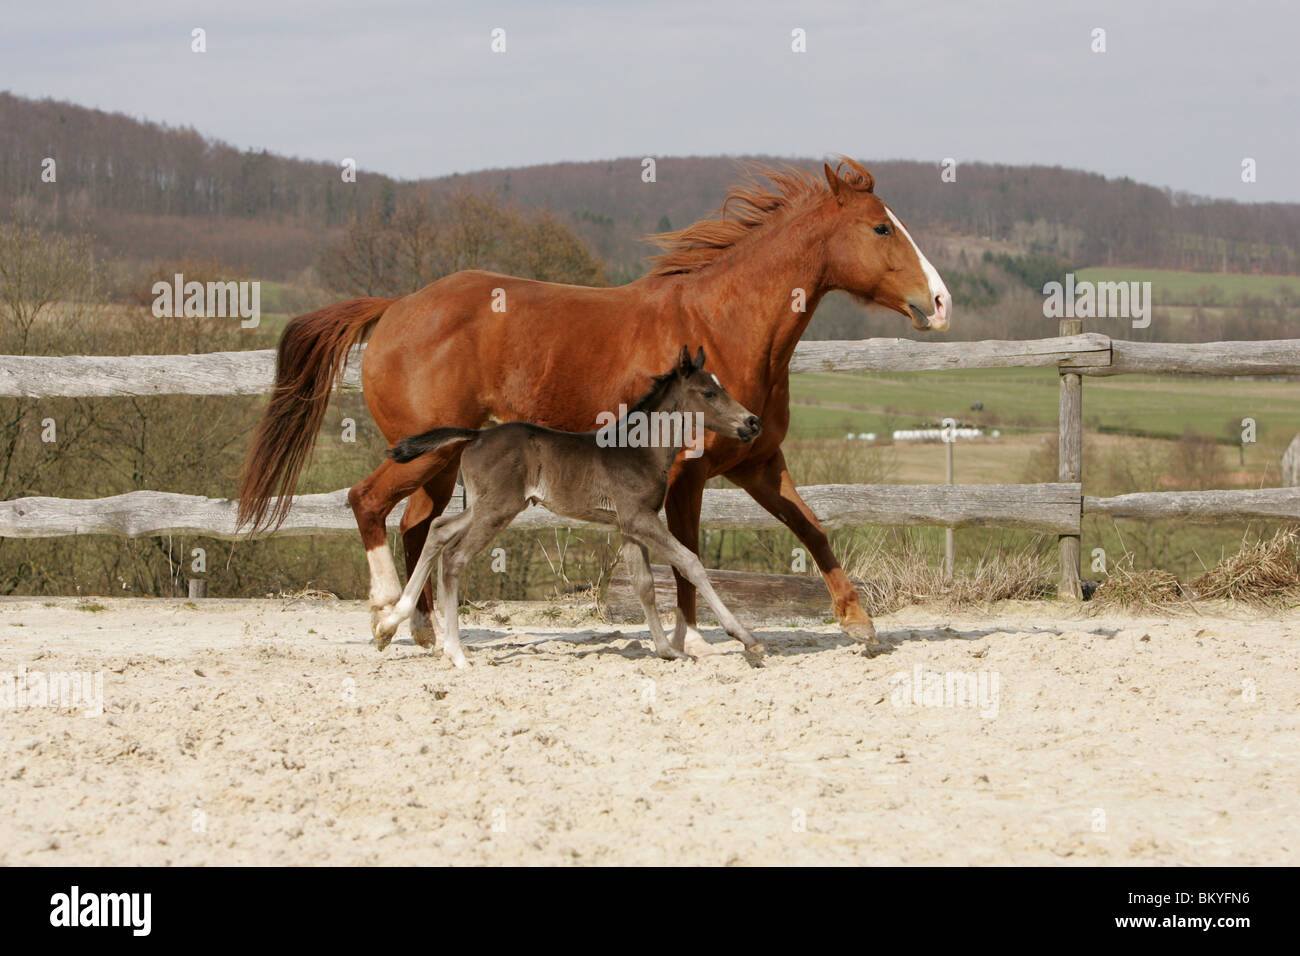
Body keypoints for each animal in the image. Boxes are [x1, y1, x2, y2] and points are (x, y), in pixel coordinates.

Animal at [371, 348, 759, 671]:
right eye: (708, 393)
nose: (752, 422)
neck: (641, 451)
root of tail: (475, 435)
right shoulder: (640, 518)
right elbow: (691, 562)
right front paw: (746, 639)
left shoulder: (628, 527)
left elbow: (644, 585)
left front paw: (667, 650)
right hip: (497, 509)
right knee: (455, 557)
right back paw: (456, 653)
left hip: (486, 506)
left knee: (439, 530)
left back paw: (389, 626)